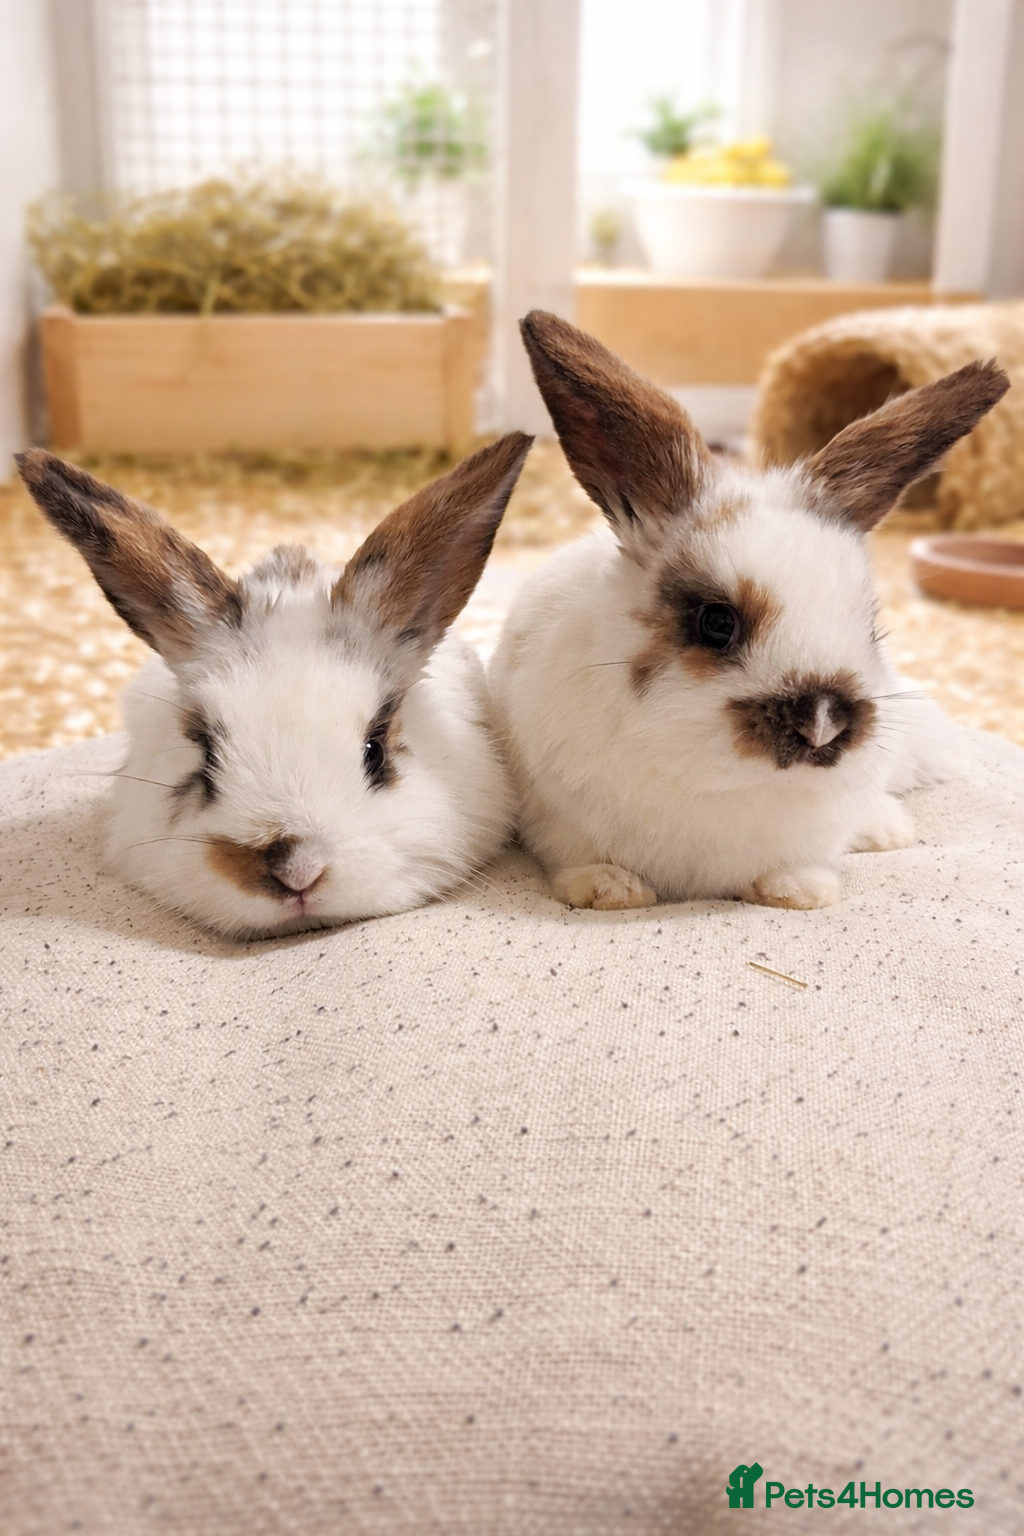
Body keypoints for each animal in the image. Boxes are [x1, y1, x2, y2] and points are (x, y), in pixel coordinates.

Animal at [488, 311, 1008, 912]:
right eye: (717, 623)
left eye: (871, 628)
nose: (823, 726)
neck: (723, 780)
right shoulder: (559, 818)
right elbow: (577, 857)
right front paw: (610, 889)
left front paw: (801, 890)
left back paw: (886, 829)